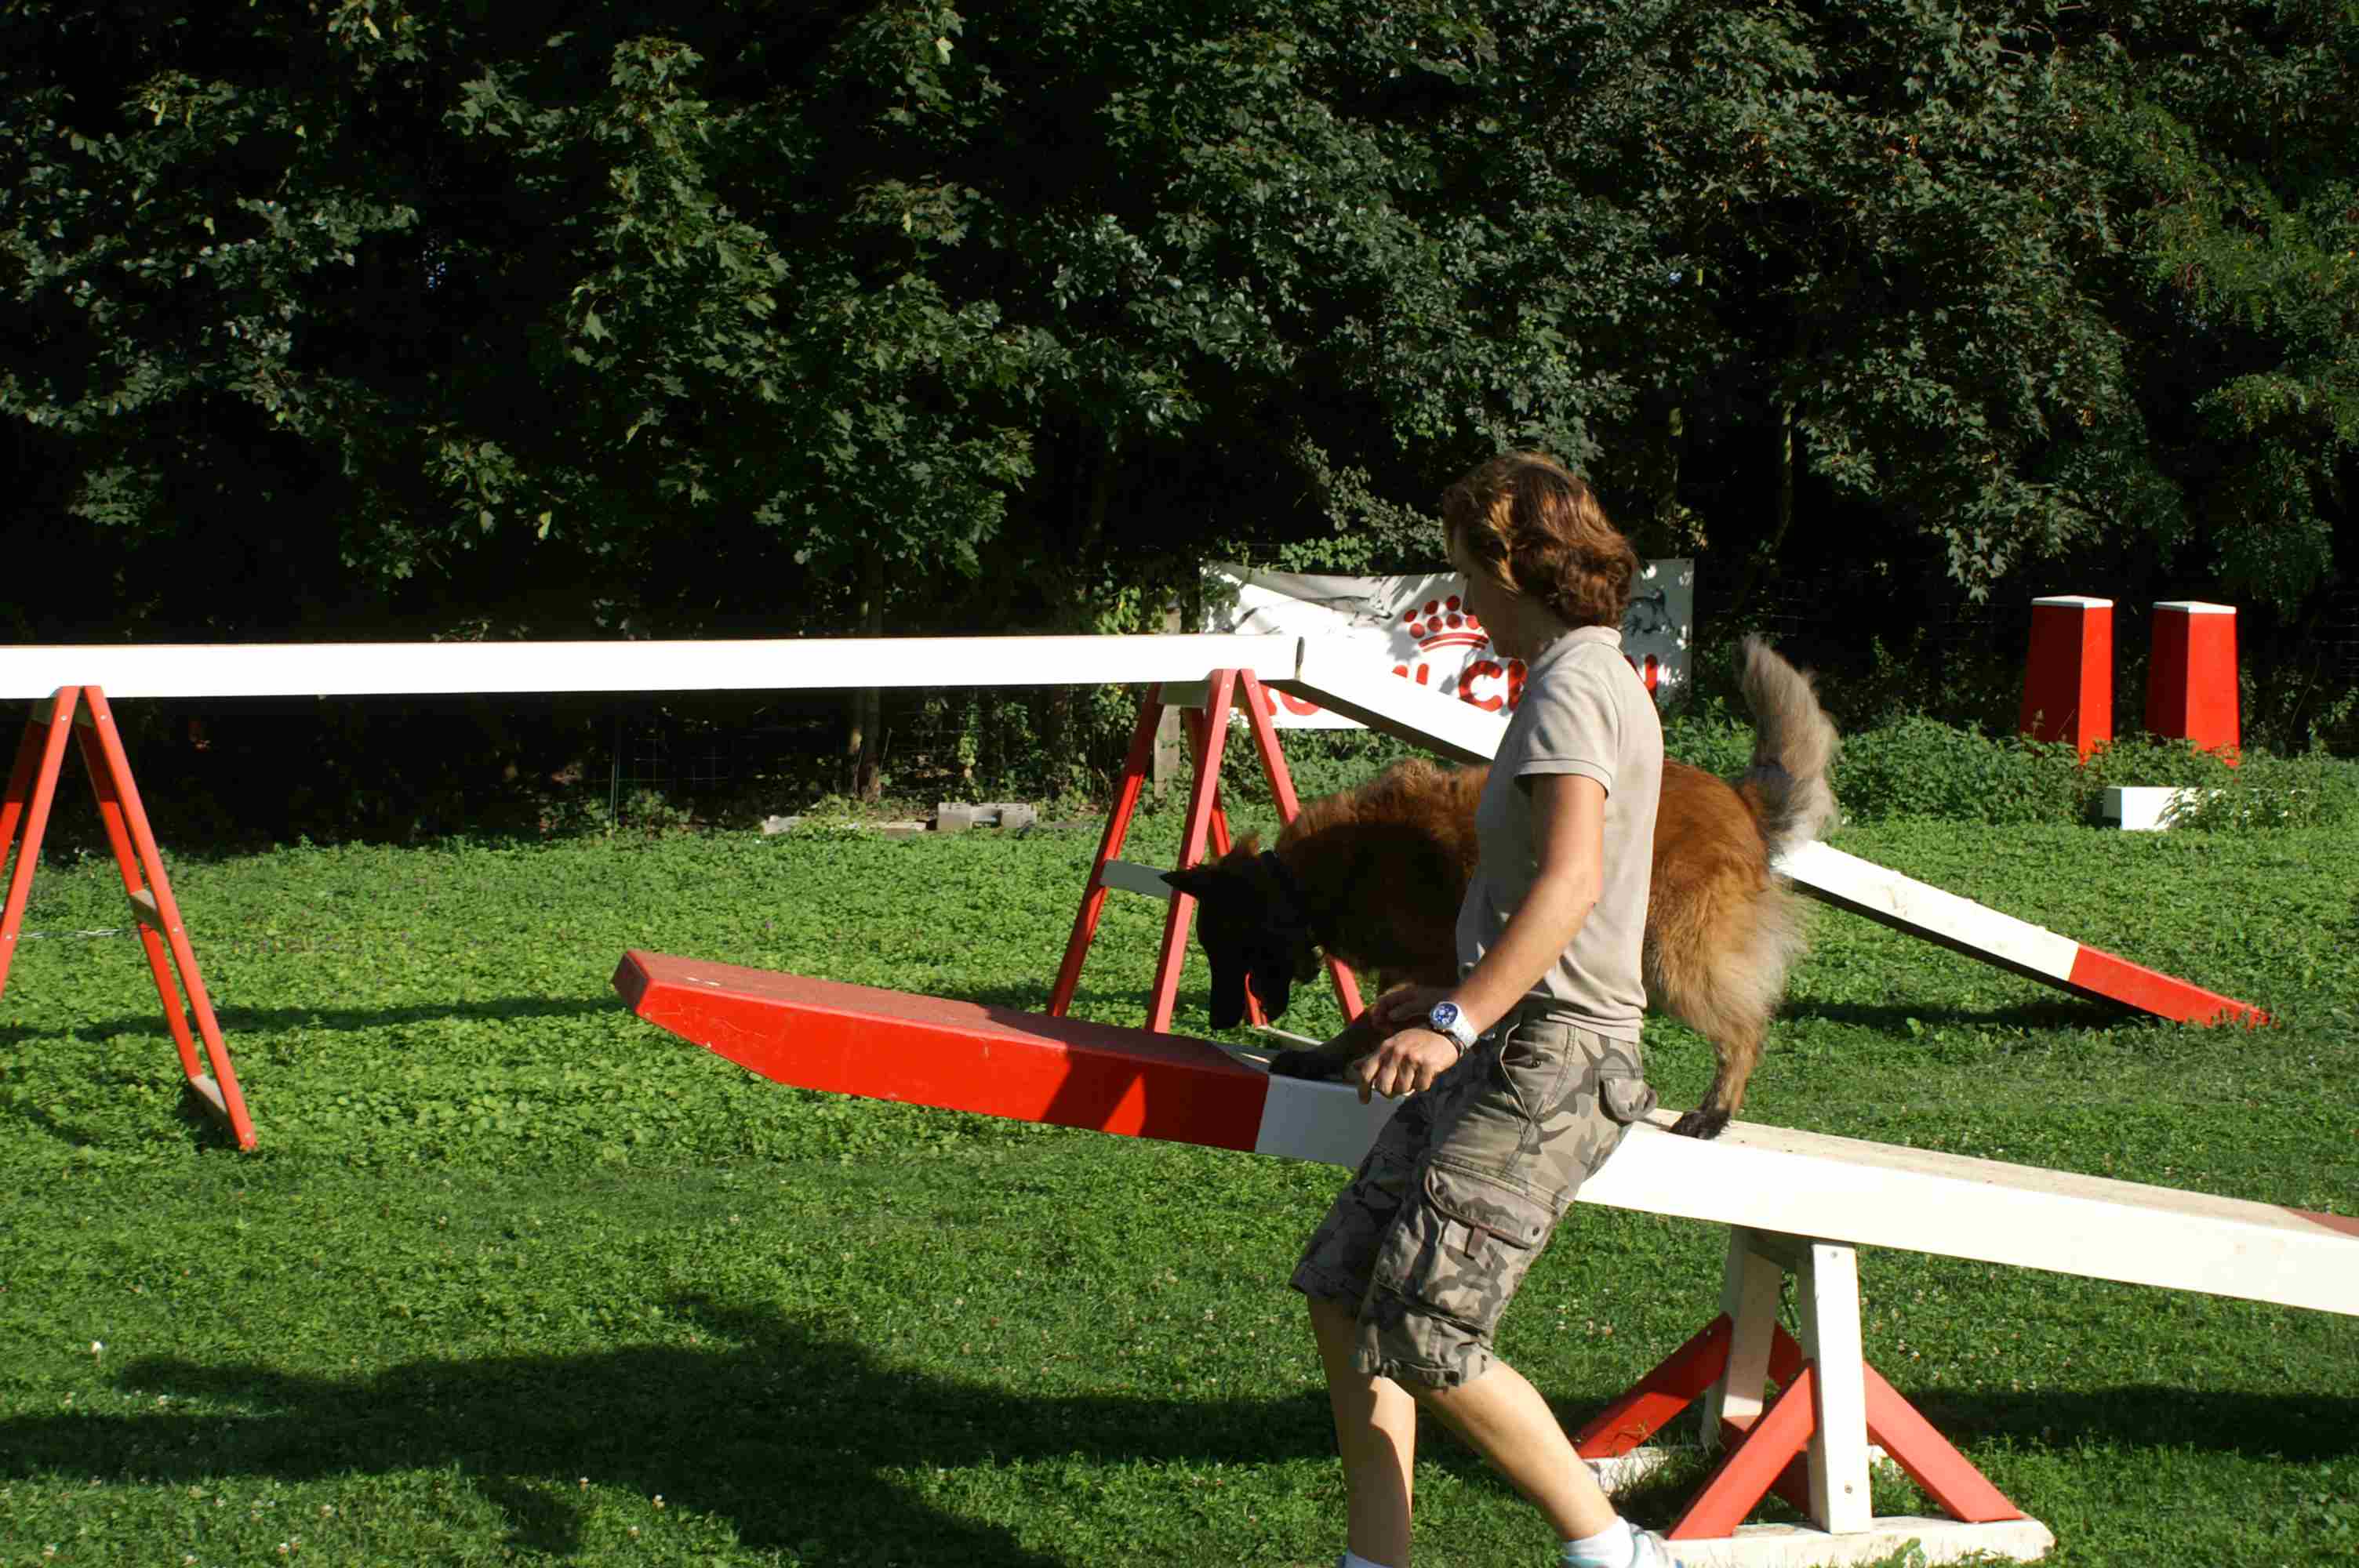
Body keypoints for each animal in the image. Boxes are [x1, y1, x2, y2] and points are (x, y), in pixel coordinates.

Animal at [1161, 636, 1838, 1139]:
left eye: (1227, 949)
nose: (1221, 1019)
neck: (1318, 878)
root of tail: (1740, 798)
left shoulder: (1433, 963)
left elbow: (1376, 1019)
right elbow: (1375, 1017)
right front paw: (1328, 1055)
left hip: (1670, 958)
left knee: (1746, 1029)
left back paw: (1713, 1111)